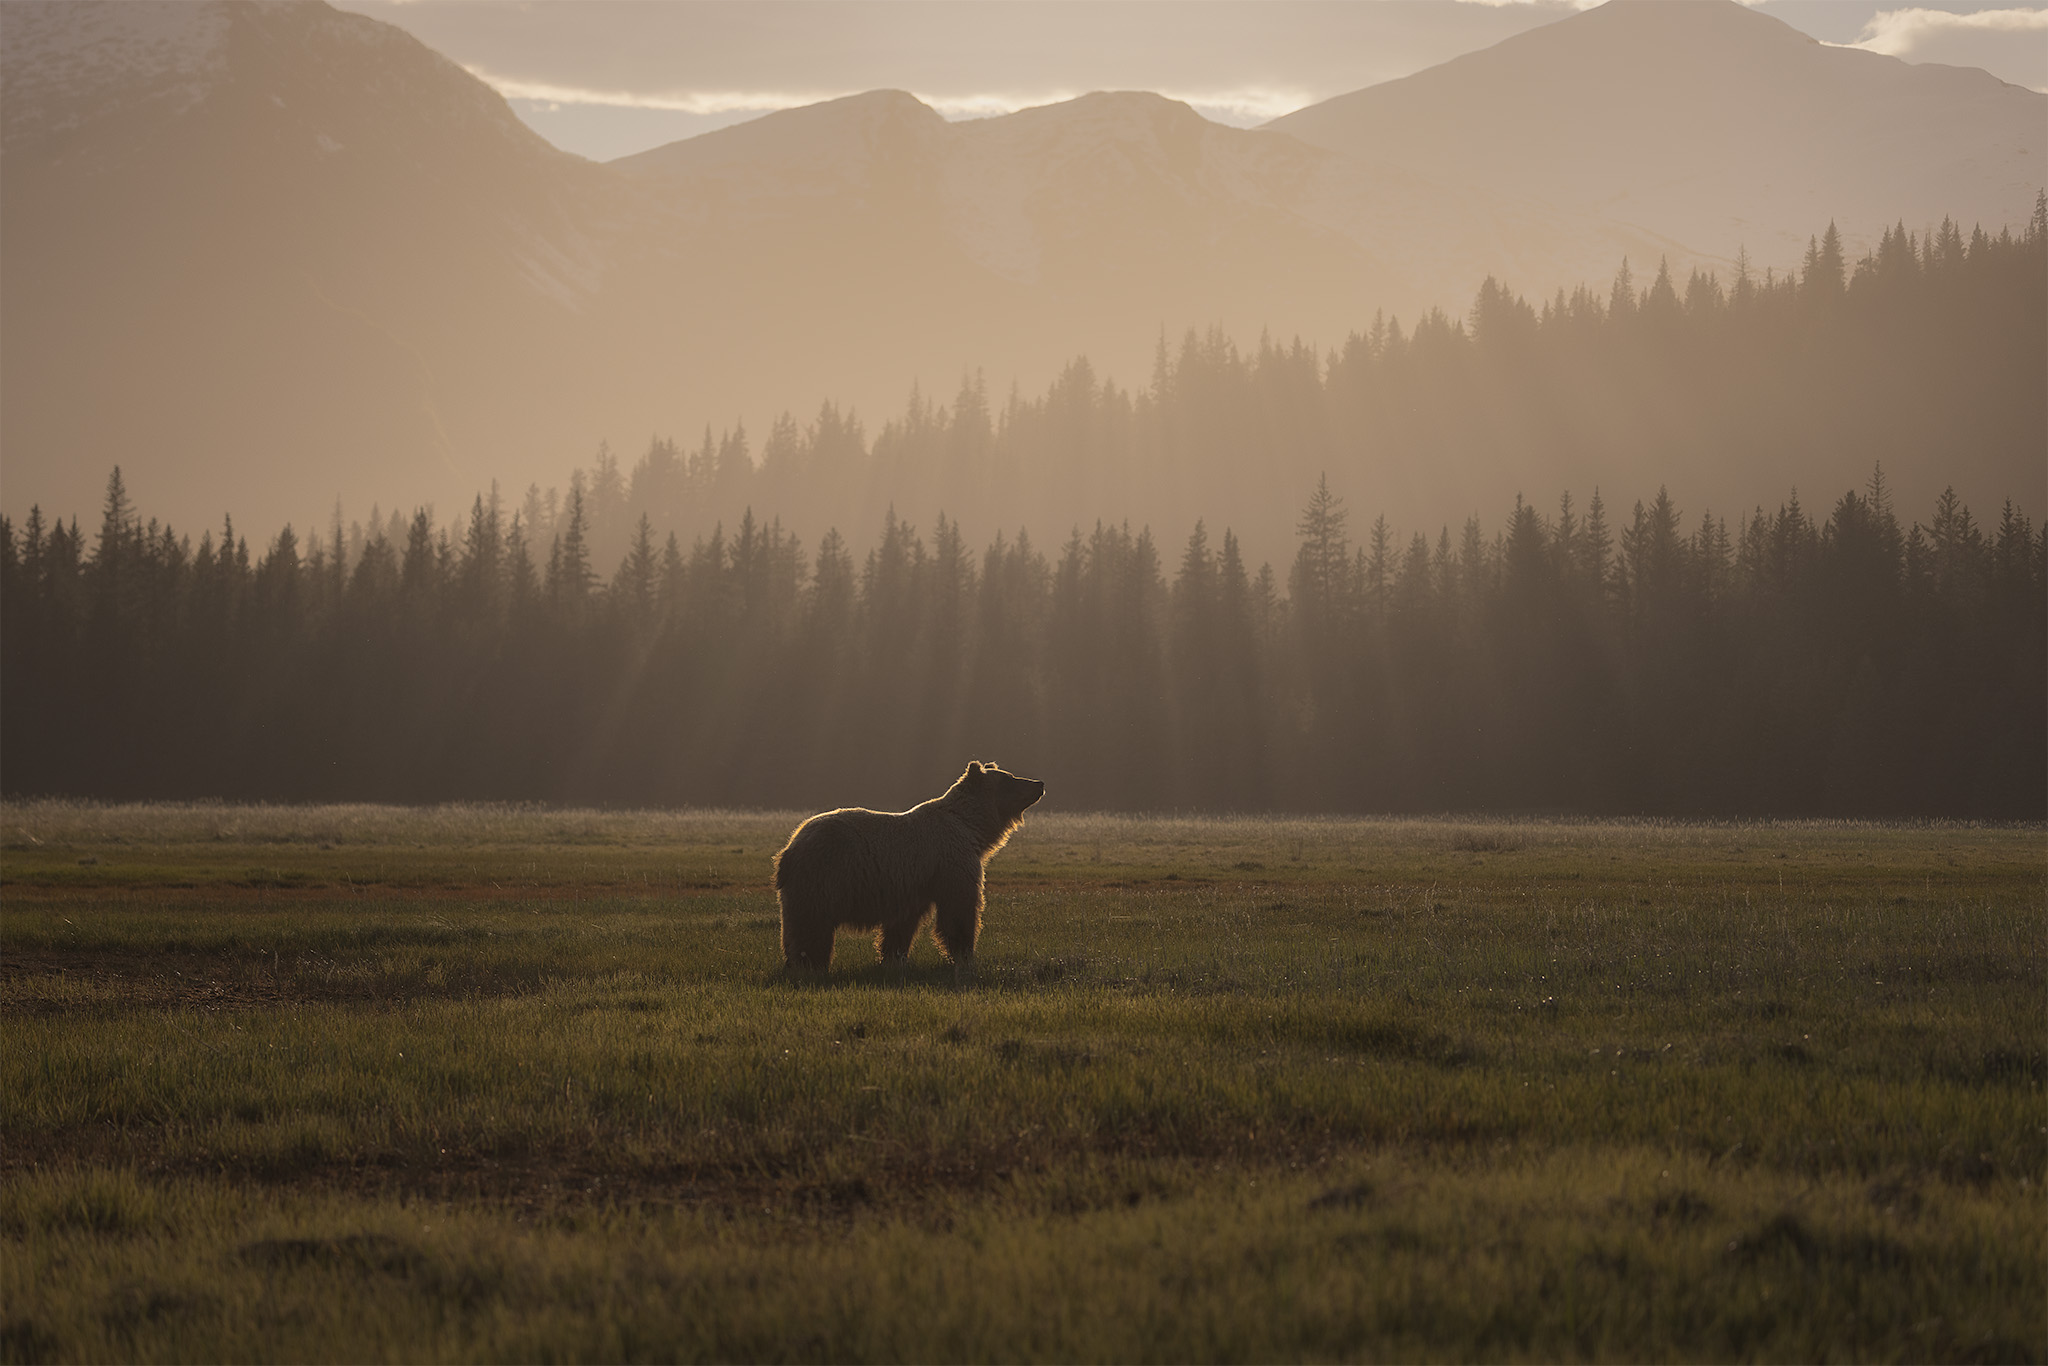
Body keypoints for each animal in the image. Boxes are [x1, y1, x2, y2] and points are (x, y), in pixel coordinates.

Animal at [772, 761, 1046, 976]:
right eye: (1010, 779)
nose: (1039, 783)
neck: (972, 827)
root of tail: (789, 847)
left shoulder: (911, 887)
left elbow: (902, 926)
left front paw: (895, 959)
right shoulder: (952, 862)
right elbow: (959, 910)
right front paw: (965, 956)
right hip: (823, 877)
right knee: (812, 925)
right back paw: (810, 965)